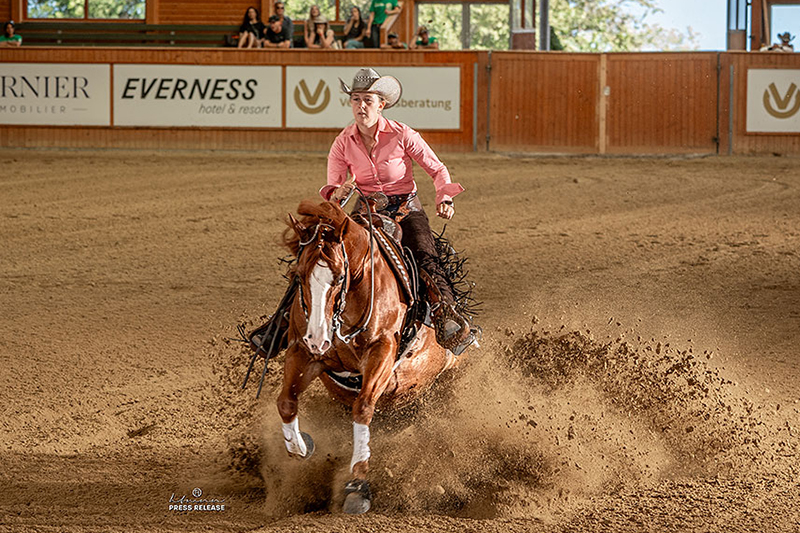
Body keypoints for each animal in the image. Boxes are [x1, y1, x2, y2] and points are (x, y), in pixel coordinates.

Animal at [280, 198, 456, 512]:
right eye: (298, 275)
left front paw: (358, 486)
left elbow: (362, 408)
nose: (317, 338)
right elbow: (286, 402)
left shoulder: (381, 352)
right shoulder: (303, 353)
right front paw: (302, 445)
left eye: (339, 276)